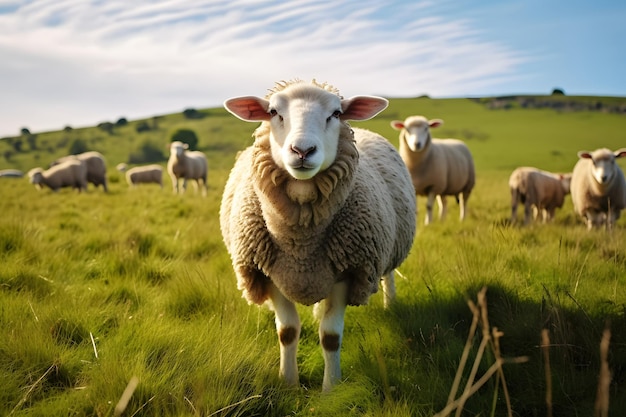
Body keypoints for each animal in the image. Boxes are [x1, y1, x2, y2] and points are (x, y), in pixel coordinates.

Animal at [219, 79, 414, 392]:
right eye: (273, 111)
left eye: (336, 113)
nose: (302, 150)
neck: (301, 245)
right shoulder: (267, 272)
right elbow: (287, 331)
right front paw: (288, 382)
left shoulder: (350, 271)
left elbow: (330, 336)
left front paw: (331, 387)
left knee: (389, 275)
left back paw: (389, 303)